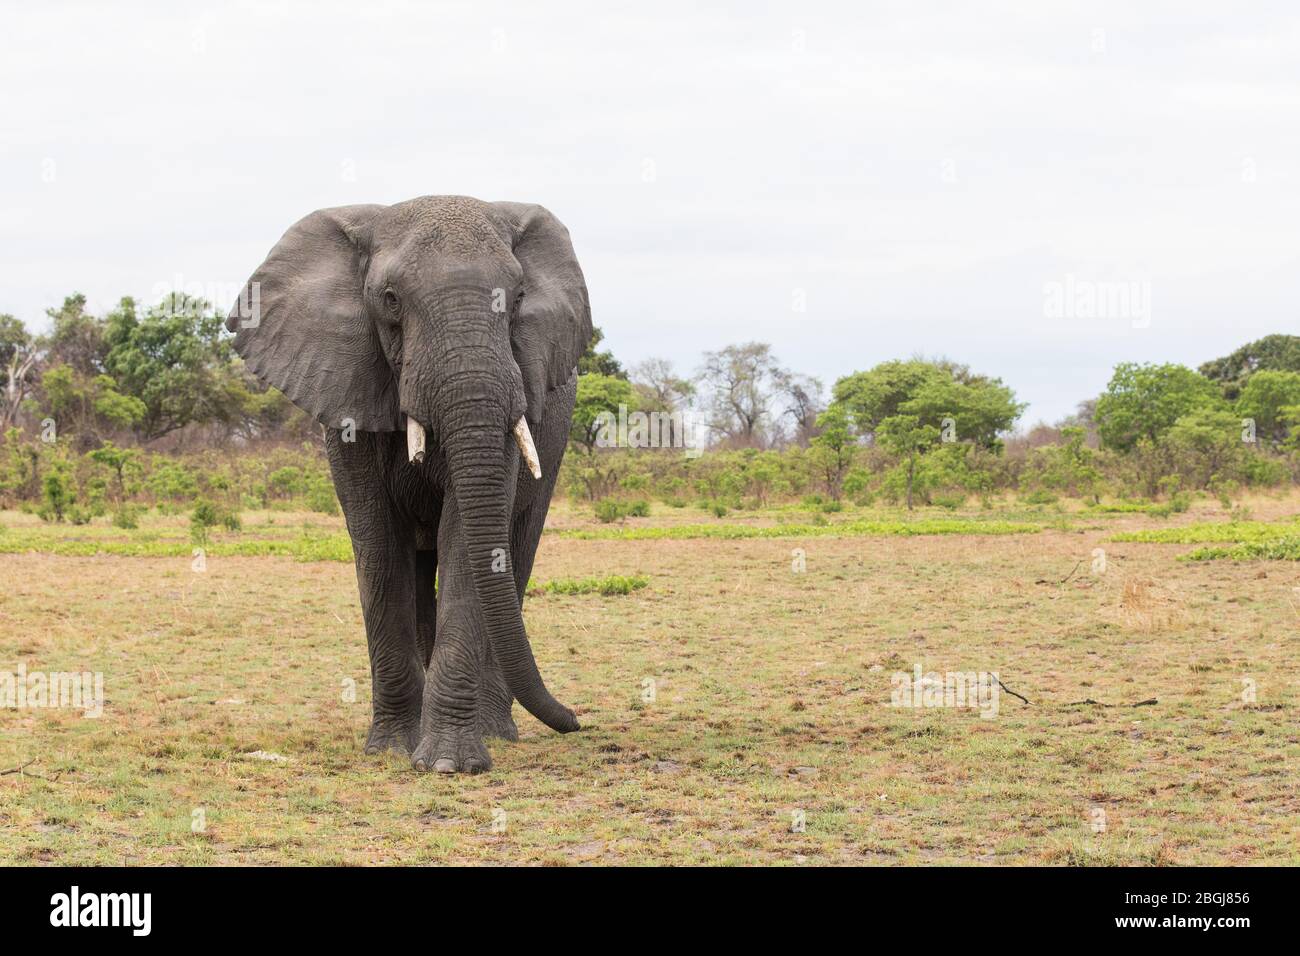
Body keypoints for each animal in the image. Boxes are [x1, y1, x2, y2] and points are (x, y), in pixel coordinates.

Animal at [226, 197, 592, 775]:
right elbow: (378, 545)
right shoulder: (347, 388)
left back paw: (495, 731)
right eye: (391, 300)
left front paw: (448, 764)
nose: (576, 719)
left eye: (517, 300)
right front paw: (394, 748)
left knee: (514, 554)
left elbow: (467, 543)